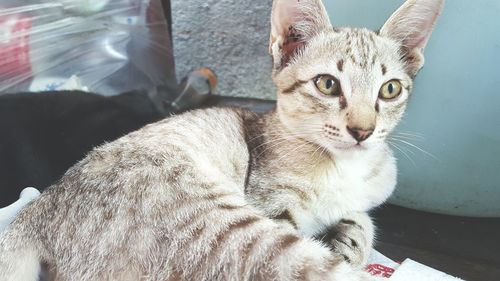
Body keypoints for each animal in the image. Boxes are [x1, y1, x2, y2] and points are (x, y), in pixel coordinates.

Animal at [0, 0, 444, 278]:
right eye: (327, 84)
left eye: (390, 90)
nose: (363, 130)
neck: (343, 164)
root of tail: (38, 207)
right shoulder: (272, 208)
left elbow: (362, 218)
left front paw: (350, 239)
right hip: (231, 232)